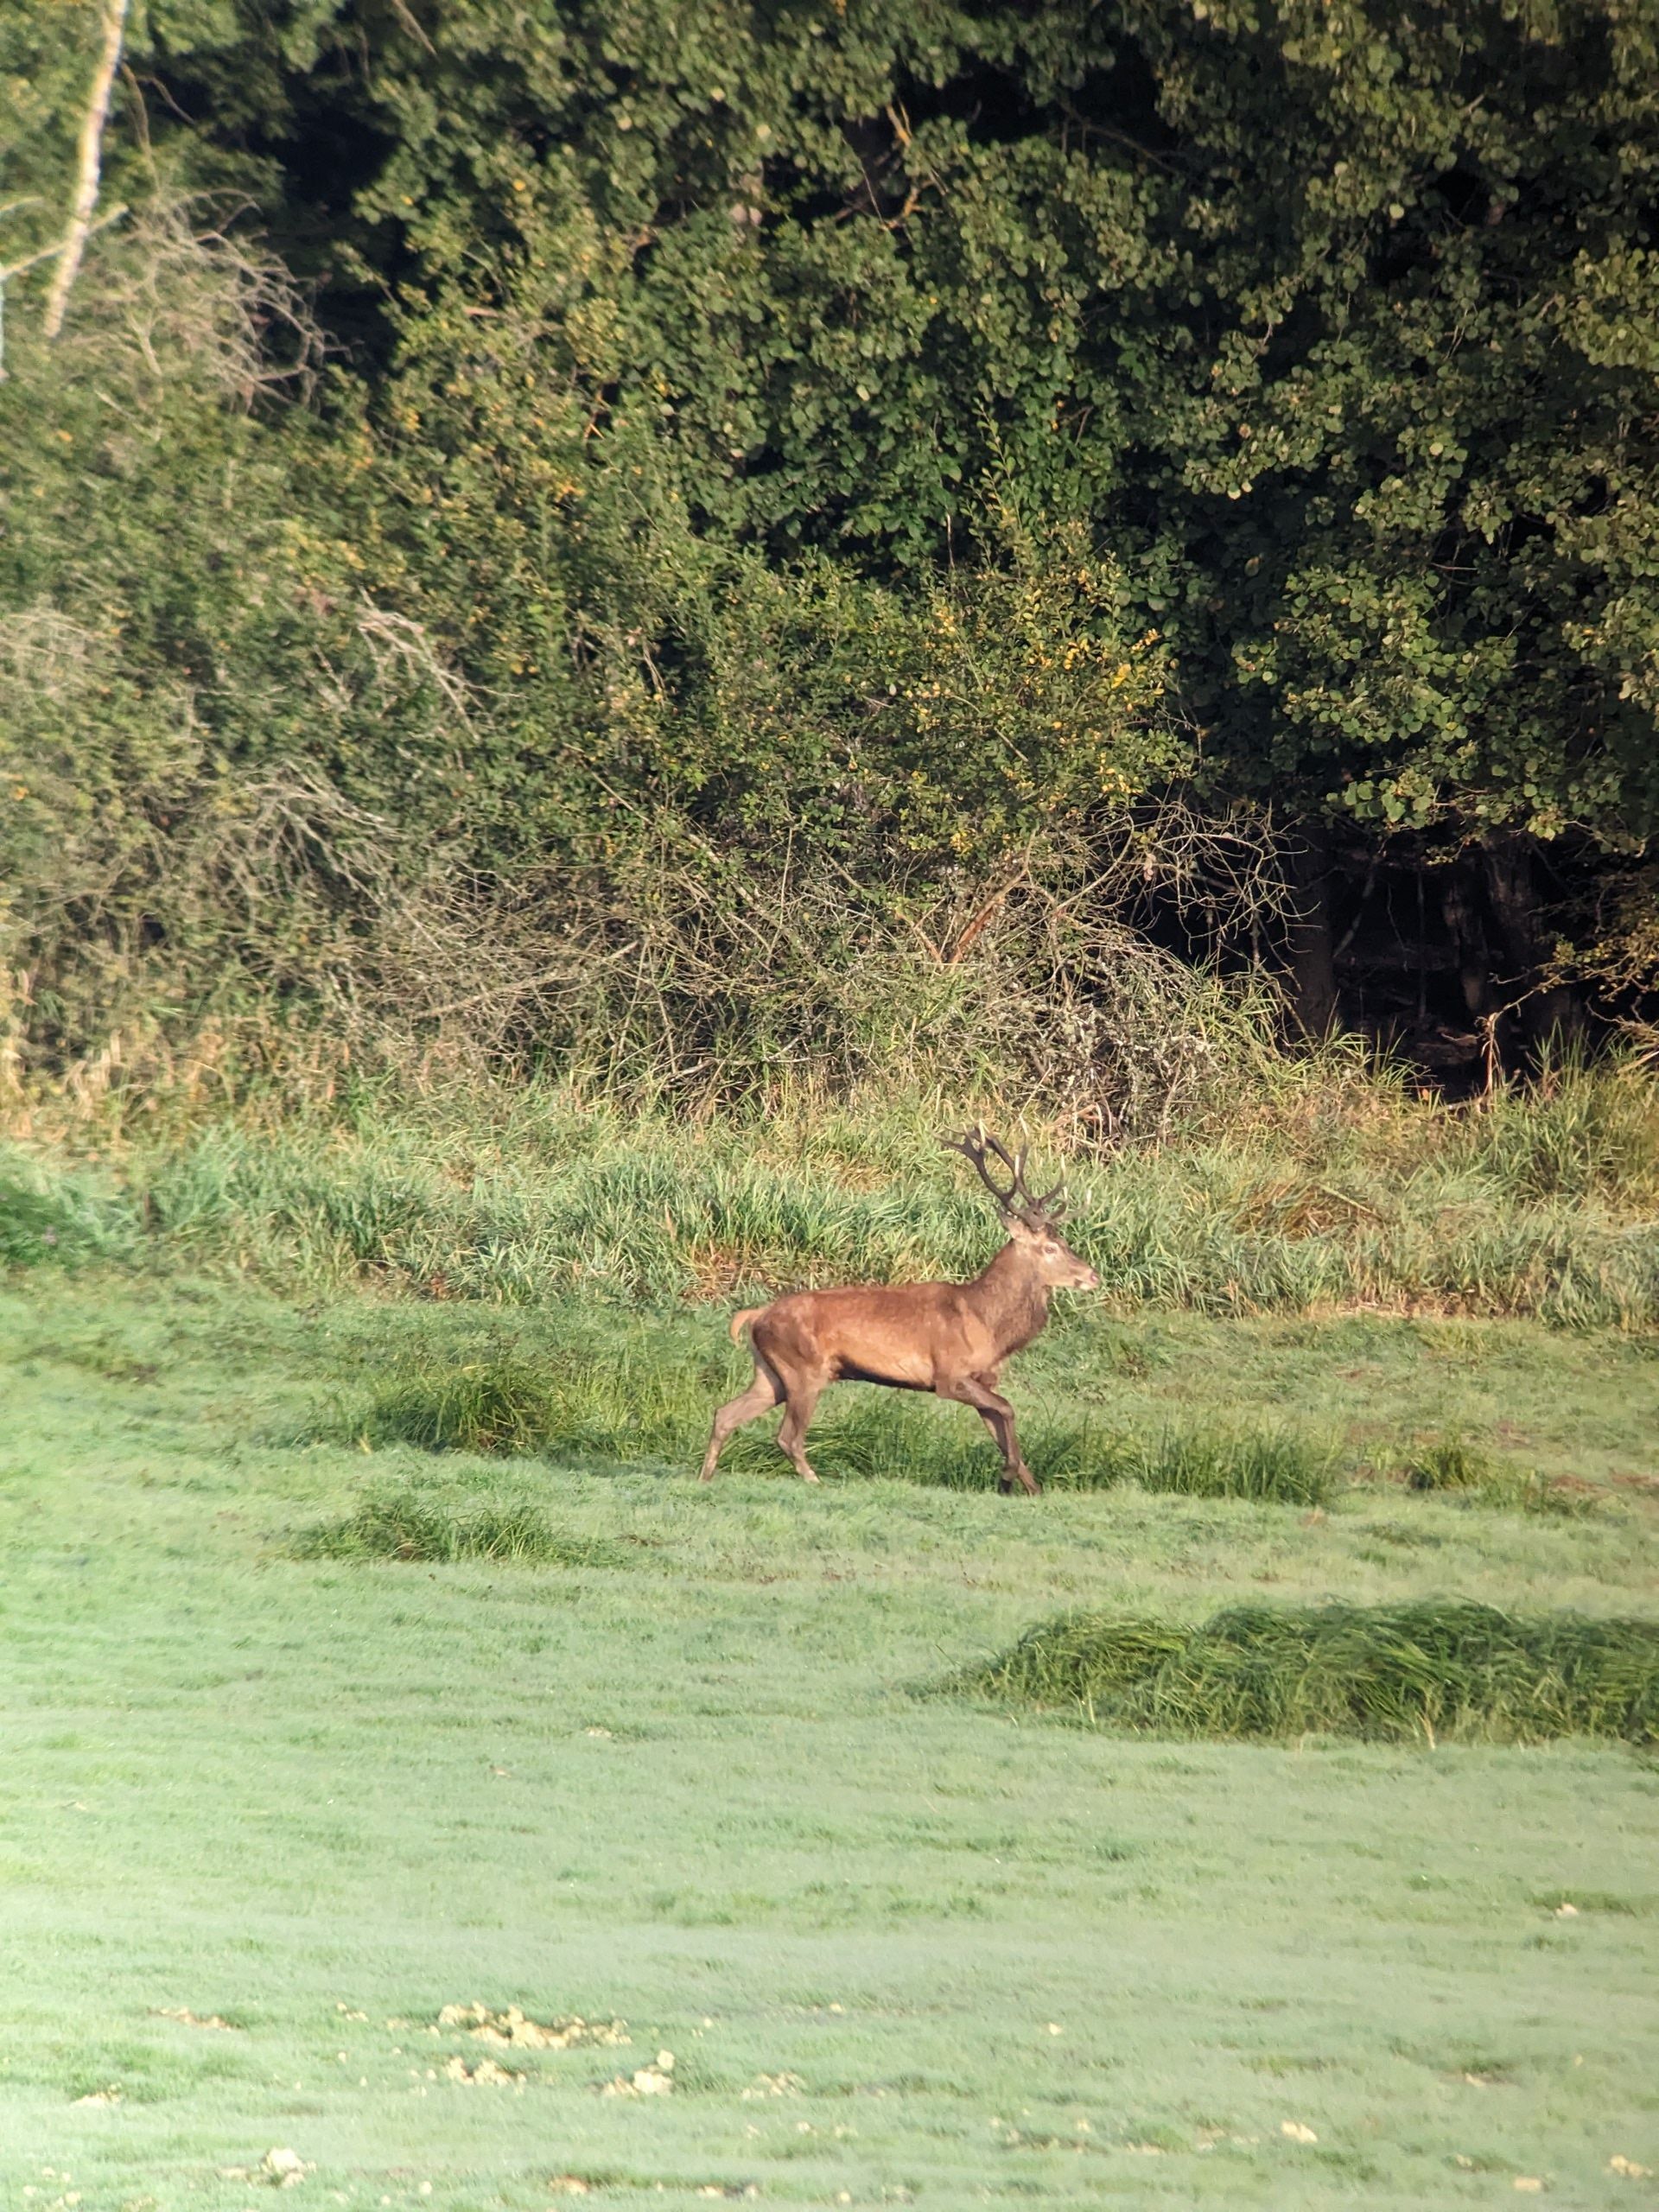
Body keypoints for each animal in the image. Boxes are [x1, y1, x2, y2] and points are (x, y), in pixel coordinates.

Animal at [699, 1129, 1099, 1495]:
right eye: (1050, 1248)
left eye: (1064, 1242)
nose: (1092, 1275)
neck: (986, 1323)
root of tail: (757, 1315)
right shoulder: (949, 1375)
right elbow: (1008, 1409)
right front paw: (1006, 1479)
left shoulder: (983, 1379)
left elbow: (1001, 1426)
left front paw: (1029, 1488)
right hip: (804, 1369)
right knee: (787, 1435)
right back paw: (815, 1481)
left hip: (771, 1373)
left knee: (725, 1413)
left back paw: (705, 1475)